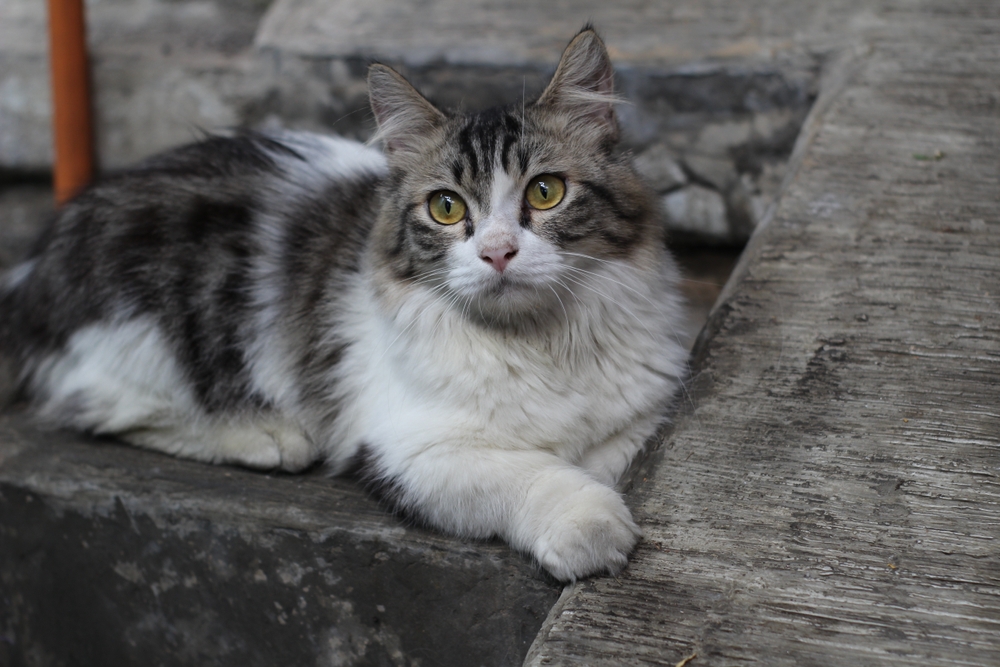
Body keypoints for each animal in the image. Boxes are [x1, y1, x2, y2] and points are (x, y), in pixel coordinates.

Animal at [0, 27, 688, 580]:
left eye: (546, 192)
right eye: (446, 207)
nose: (497, 253)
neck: (538, 343)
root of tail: (35, 264)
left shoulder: (639, 417)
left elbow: (604, 455)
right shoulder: (410, 447)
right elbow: (528, 473)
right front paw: (589, 524)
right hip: (154, 336)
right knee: (97, 406)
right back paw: (267, 434)